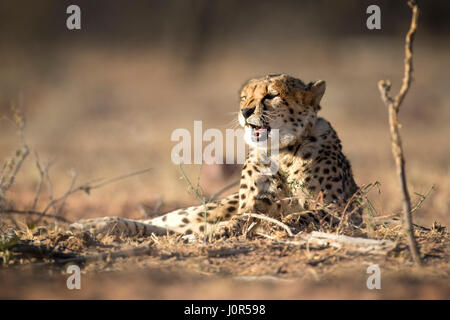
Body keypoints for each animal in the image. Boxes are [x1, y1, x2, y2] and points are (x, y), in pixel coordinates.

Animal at [67, 74, 362, 238]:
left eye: (271, 95)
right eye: (244, 97)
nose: (245, 111)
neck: (283, 152)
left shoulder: (343, 212)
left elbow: (307, 215)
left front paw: (284, 224)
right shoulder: (250, 207)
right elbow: (246, 218)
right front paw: (222, 230)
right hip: (203, 210)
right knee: (162, 223)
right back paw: (90, 226)